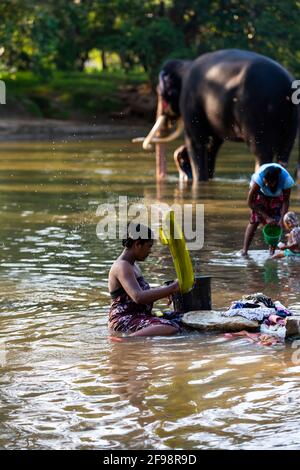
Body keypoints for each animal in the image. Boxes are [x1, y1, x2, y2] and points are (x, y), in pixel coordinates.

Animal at [134, 48, 300, 184]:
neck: (185, 65)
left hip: (257, 115)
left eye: (160, 93)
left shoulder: (190, 102)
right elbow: (213, 144)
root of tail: (288, 87)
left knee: (261, 153)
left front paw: (199, 180)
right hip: (292, 121)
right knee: (284, 154)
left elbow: (196, 140)